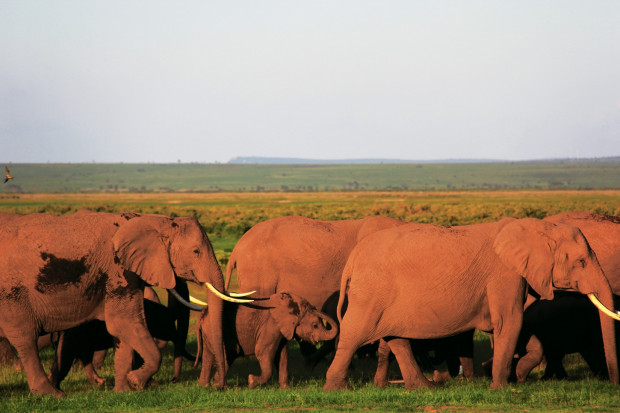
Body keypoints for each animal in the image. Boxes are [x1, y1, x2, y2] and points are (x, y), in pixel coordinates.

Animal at [0, 211, 252, 394]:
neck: (152, 219)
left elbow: (122, 329)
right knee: (25, 337)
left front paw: (123, 391)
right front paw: (135, 382)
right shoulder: (118, 269)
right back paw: (51, 394)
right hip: (12, 292)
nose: (220, 386)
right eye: (196, 251)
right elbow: (125, 321)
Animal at [195, 290, 336, 386]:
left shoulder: (281, 329)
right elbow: (262, 351)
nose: (315, 308)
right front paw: (251, 381)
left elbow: (282, 356)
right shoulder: (271, 325)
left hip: (208, 332)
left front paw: (286, 389)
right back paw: (220, 386)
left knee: (208, 356)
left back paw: (205, 386)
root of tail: (202, 314)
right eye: (315, 325)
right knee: (229, 353)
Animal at [324, 216, 620, 390]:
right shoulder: (505, 274)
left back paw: (424, 388)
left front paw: (516, 377)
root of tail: (353, 257)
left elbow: (516, 329)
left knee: (396, 338)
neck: (537, 228)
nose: (613, 385)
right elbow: (510, 321)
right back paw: (337, 389)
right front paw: (502, 389)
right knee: (354, 333)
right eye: (581, 261)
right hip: (371, 293)